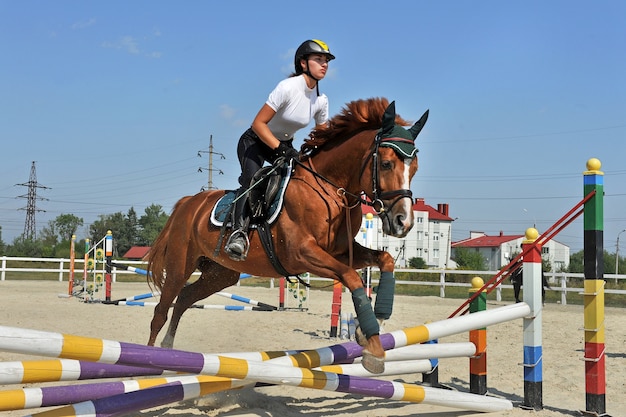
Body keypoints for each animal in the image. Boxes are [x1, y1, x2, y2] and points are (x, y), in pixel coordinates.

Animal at [146, 98, 426, 374]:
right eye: (387, 164)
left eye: (414, 169)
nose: (404, 222)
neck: (329, 190)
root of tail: (188, 202)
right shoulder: (302, 254)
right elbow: (352, 277)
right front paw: (373, 348)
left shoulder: (342, 252)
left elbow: (385, 260)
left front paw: (372, 325)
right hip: (180, 265)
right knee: (161, 310)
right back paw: (150, 360)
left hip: (220, 273)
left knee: (184, 298)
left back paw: (169, 350)